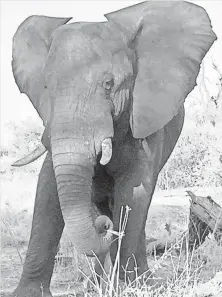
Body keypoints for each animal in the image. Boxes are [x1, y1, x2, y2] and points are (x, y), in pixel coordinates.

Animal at [11, 1, 216, 294]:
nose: (102, 228)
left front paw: (126, 288)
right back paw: (98, 283)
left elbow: (134, 191)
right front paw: (28, 293)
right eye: (47, 86)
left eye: (109, 84)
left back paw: (139, 280)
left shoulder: (145, 119)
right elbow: (47, 189)